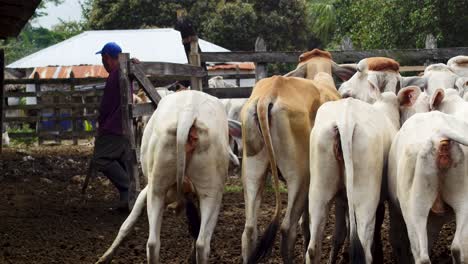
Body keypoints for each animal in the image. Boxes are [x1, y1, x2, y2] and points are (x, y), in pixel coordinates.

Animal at [95, 90, 241, 264]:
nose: (235, 161)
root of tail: (188, 112)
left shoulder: (147, 191)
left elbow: (128, 223)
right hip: (195, 192)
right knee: (175, 243)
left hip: (161, 190)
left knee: (170, 243)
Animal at [241, 49, 354, 264]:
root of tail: (269, 93)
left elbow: (306, 224)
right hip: (299, 177)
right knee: (287, 229)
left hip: (253, 169)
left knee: (250, 230)